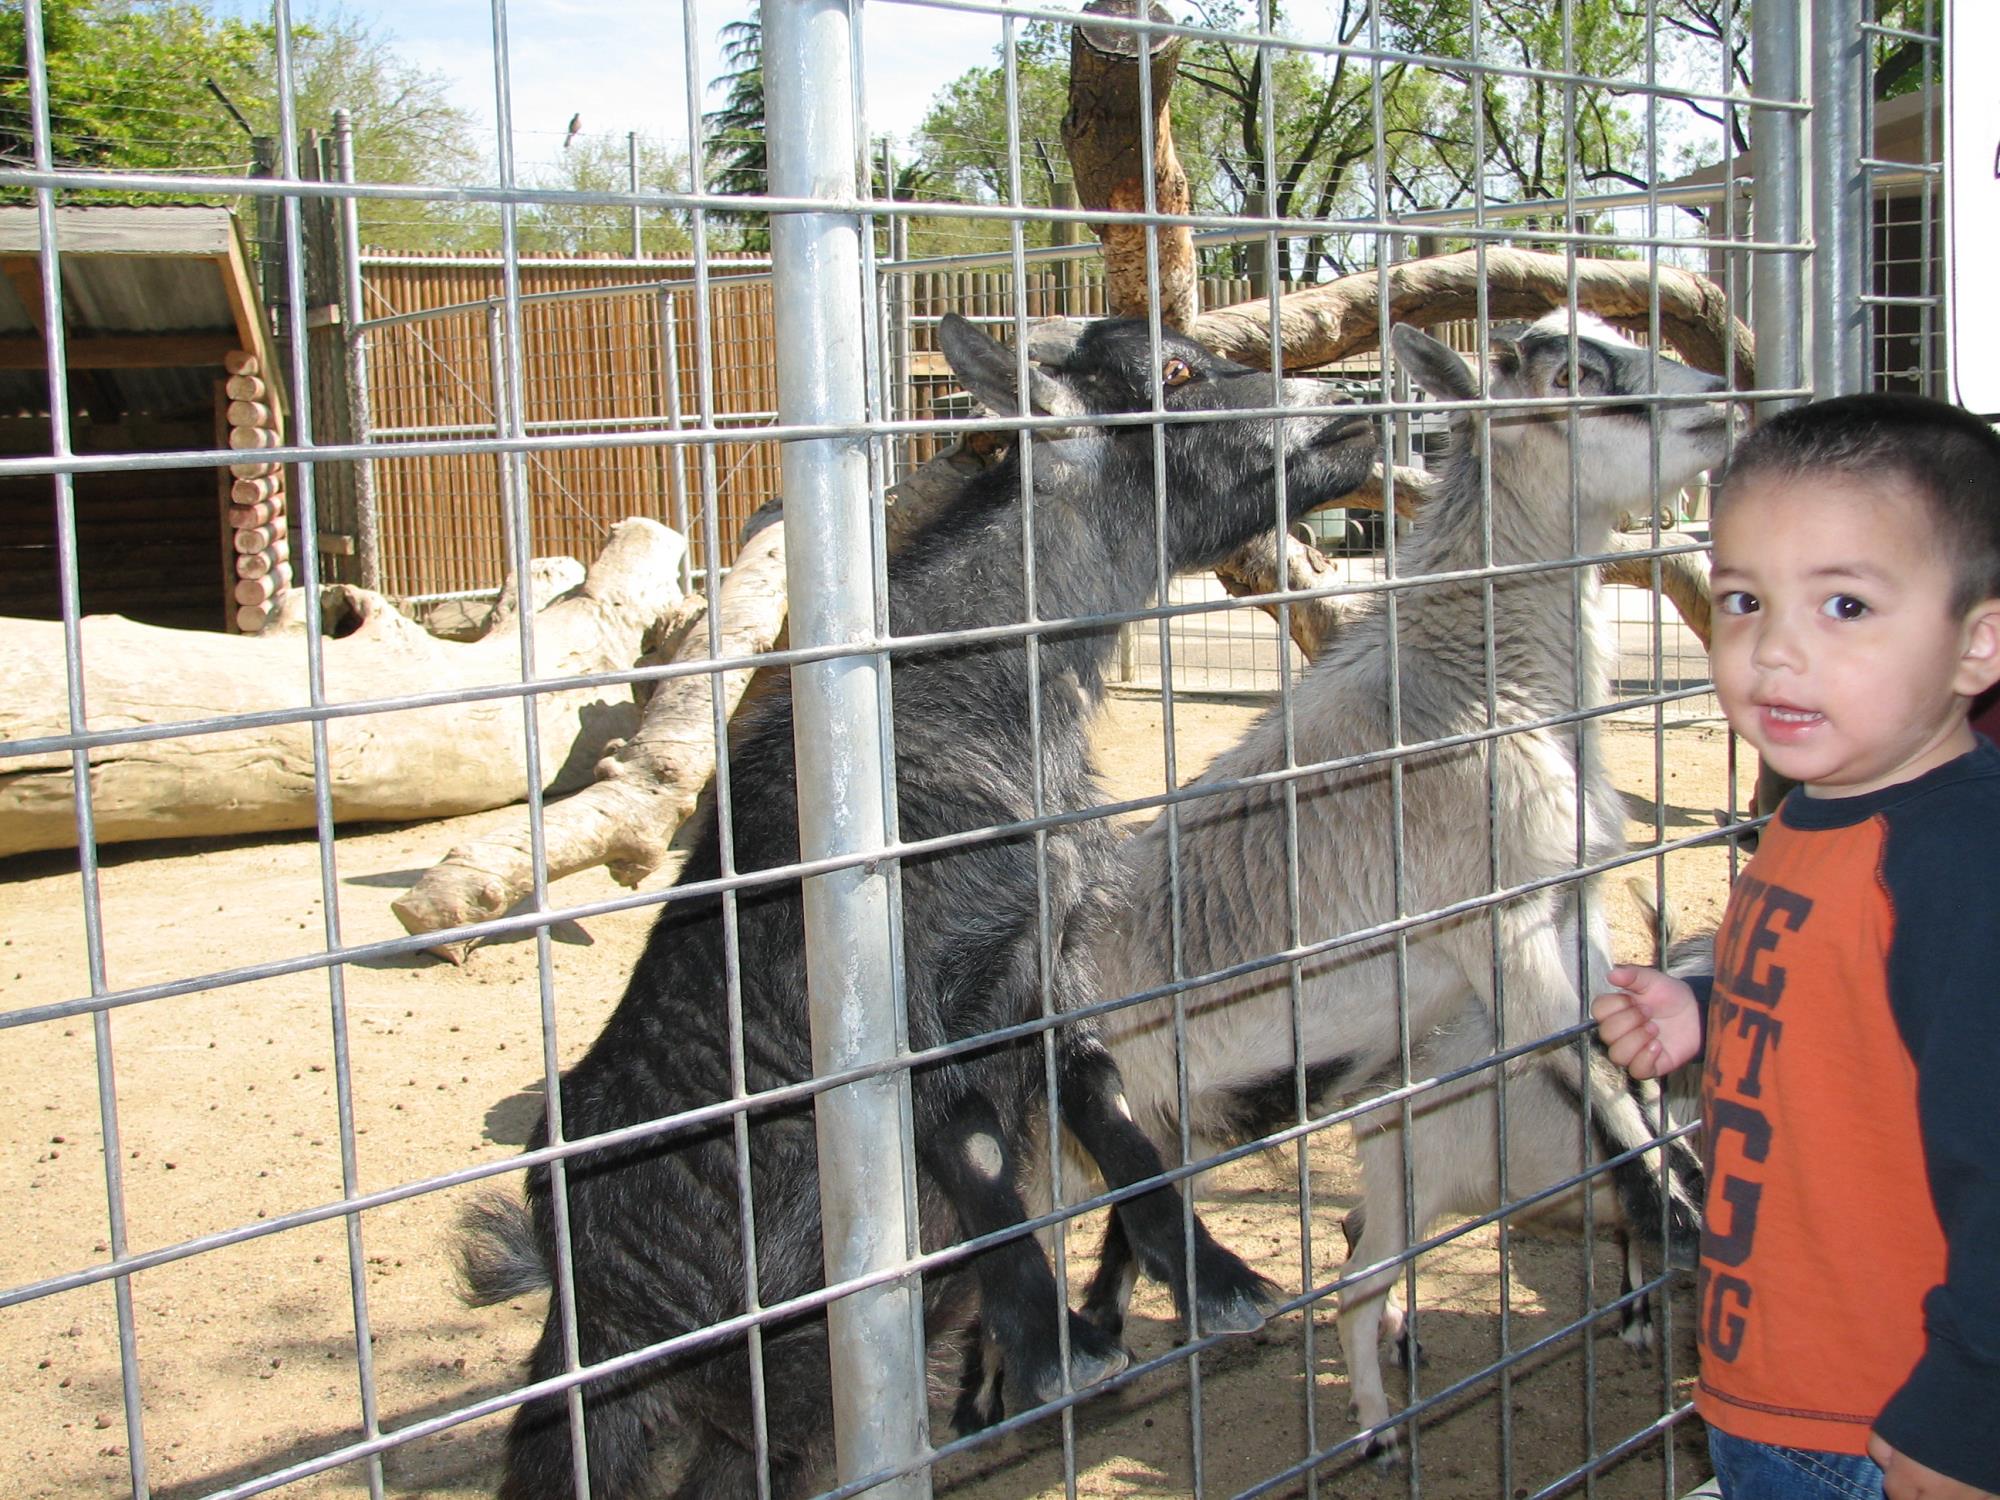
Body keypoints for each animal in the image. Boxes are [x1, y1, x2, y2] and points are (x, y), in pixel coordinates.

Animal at [460, 312, 1384, 1496]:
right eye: (1174, 372)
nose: (1355, 406)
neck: (974, 716)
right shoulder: (898, 985)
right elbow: (980, 1143)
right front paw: (1056, 1351)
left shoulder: (1048, 961)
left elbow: (1112, 1114)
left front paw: (1218, 1283)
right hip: (601, 1396)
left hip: (768, 1424)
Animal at [1088, 312, 1728, 1464]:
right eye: (1574, 374)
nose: (1718, 402)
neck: (1481, 682)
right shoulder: (1499, 921)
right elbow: (1594, 1080)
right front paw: (1676, 1227)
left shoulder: (1572, 905)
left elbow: (1626, 1057)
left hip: (1161, 1124)